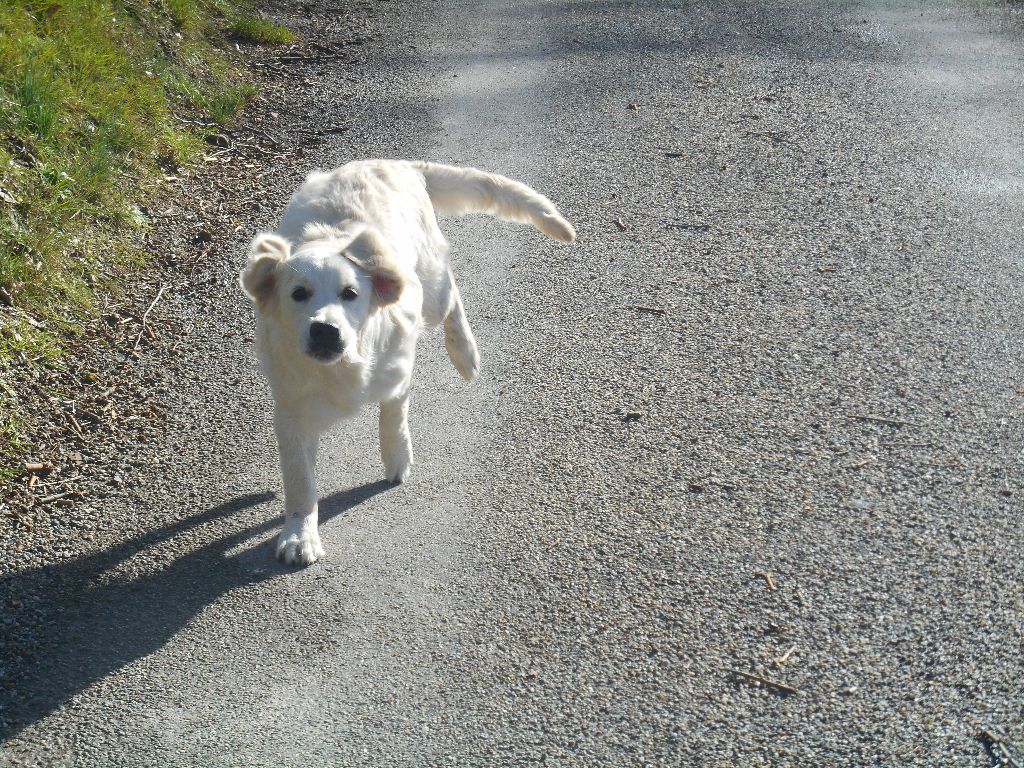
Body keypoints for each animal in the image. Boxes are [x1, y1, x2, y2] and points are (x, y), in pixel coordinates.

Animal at [240, 159, 577, 565]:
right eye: (298, 294)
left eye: (350, 293)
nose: (324, 331)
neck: (343, 367)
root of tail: (393, 163)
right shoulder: (292, 410)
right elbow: (299, 480)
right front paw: (299, 534)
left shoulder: (397, 368)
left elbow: (392, 416)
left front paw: (397, 457)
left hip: (430, 290)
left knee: (451, 294)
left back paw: (465, 353)